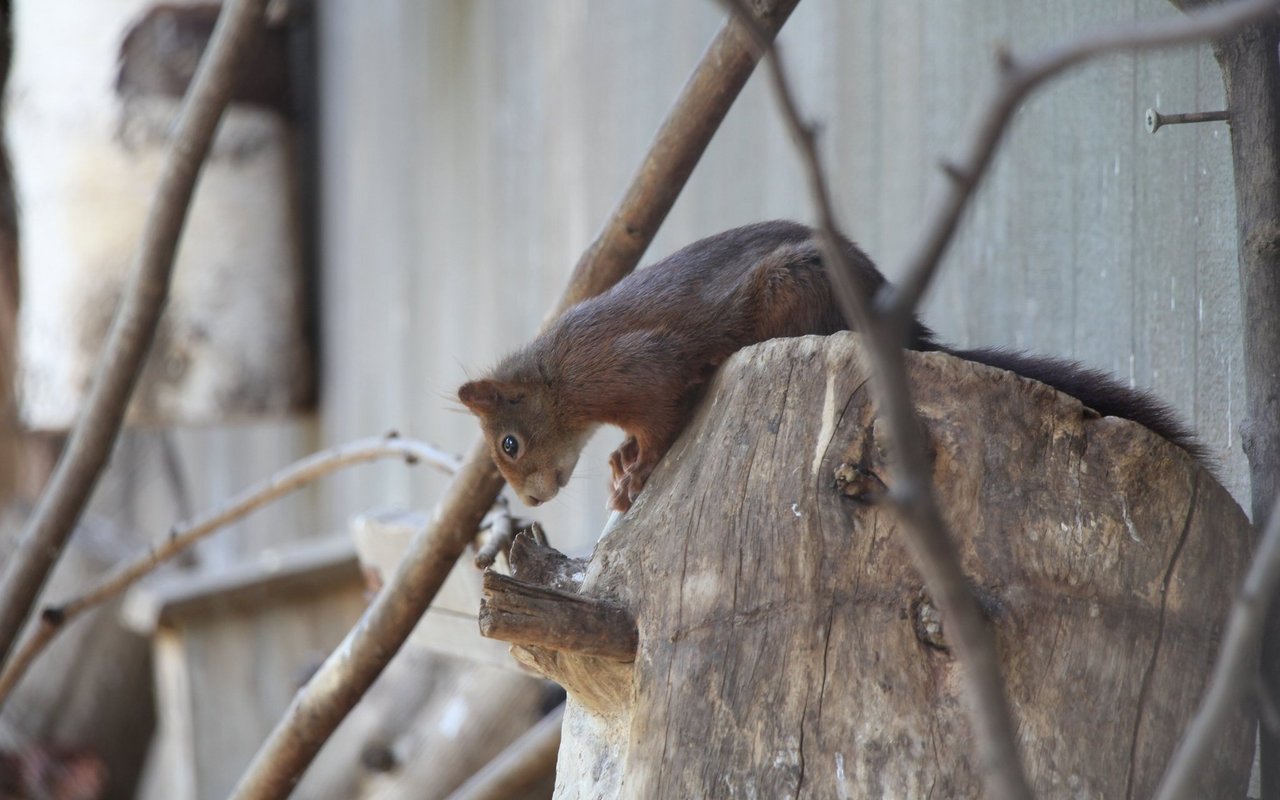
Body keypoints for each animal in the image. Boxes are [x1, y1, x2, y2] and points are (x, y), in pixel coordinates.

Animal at [463, 218, 1208, 512]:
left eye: (509, 443)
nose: (531, 500)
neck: (560, 378)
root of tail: (901, 323)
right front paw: (619, 463)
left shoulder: (635, 367)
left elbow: (662, 417)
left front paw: (635, 473)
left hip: (794, 293)